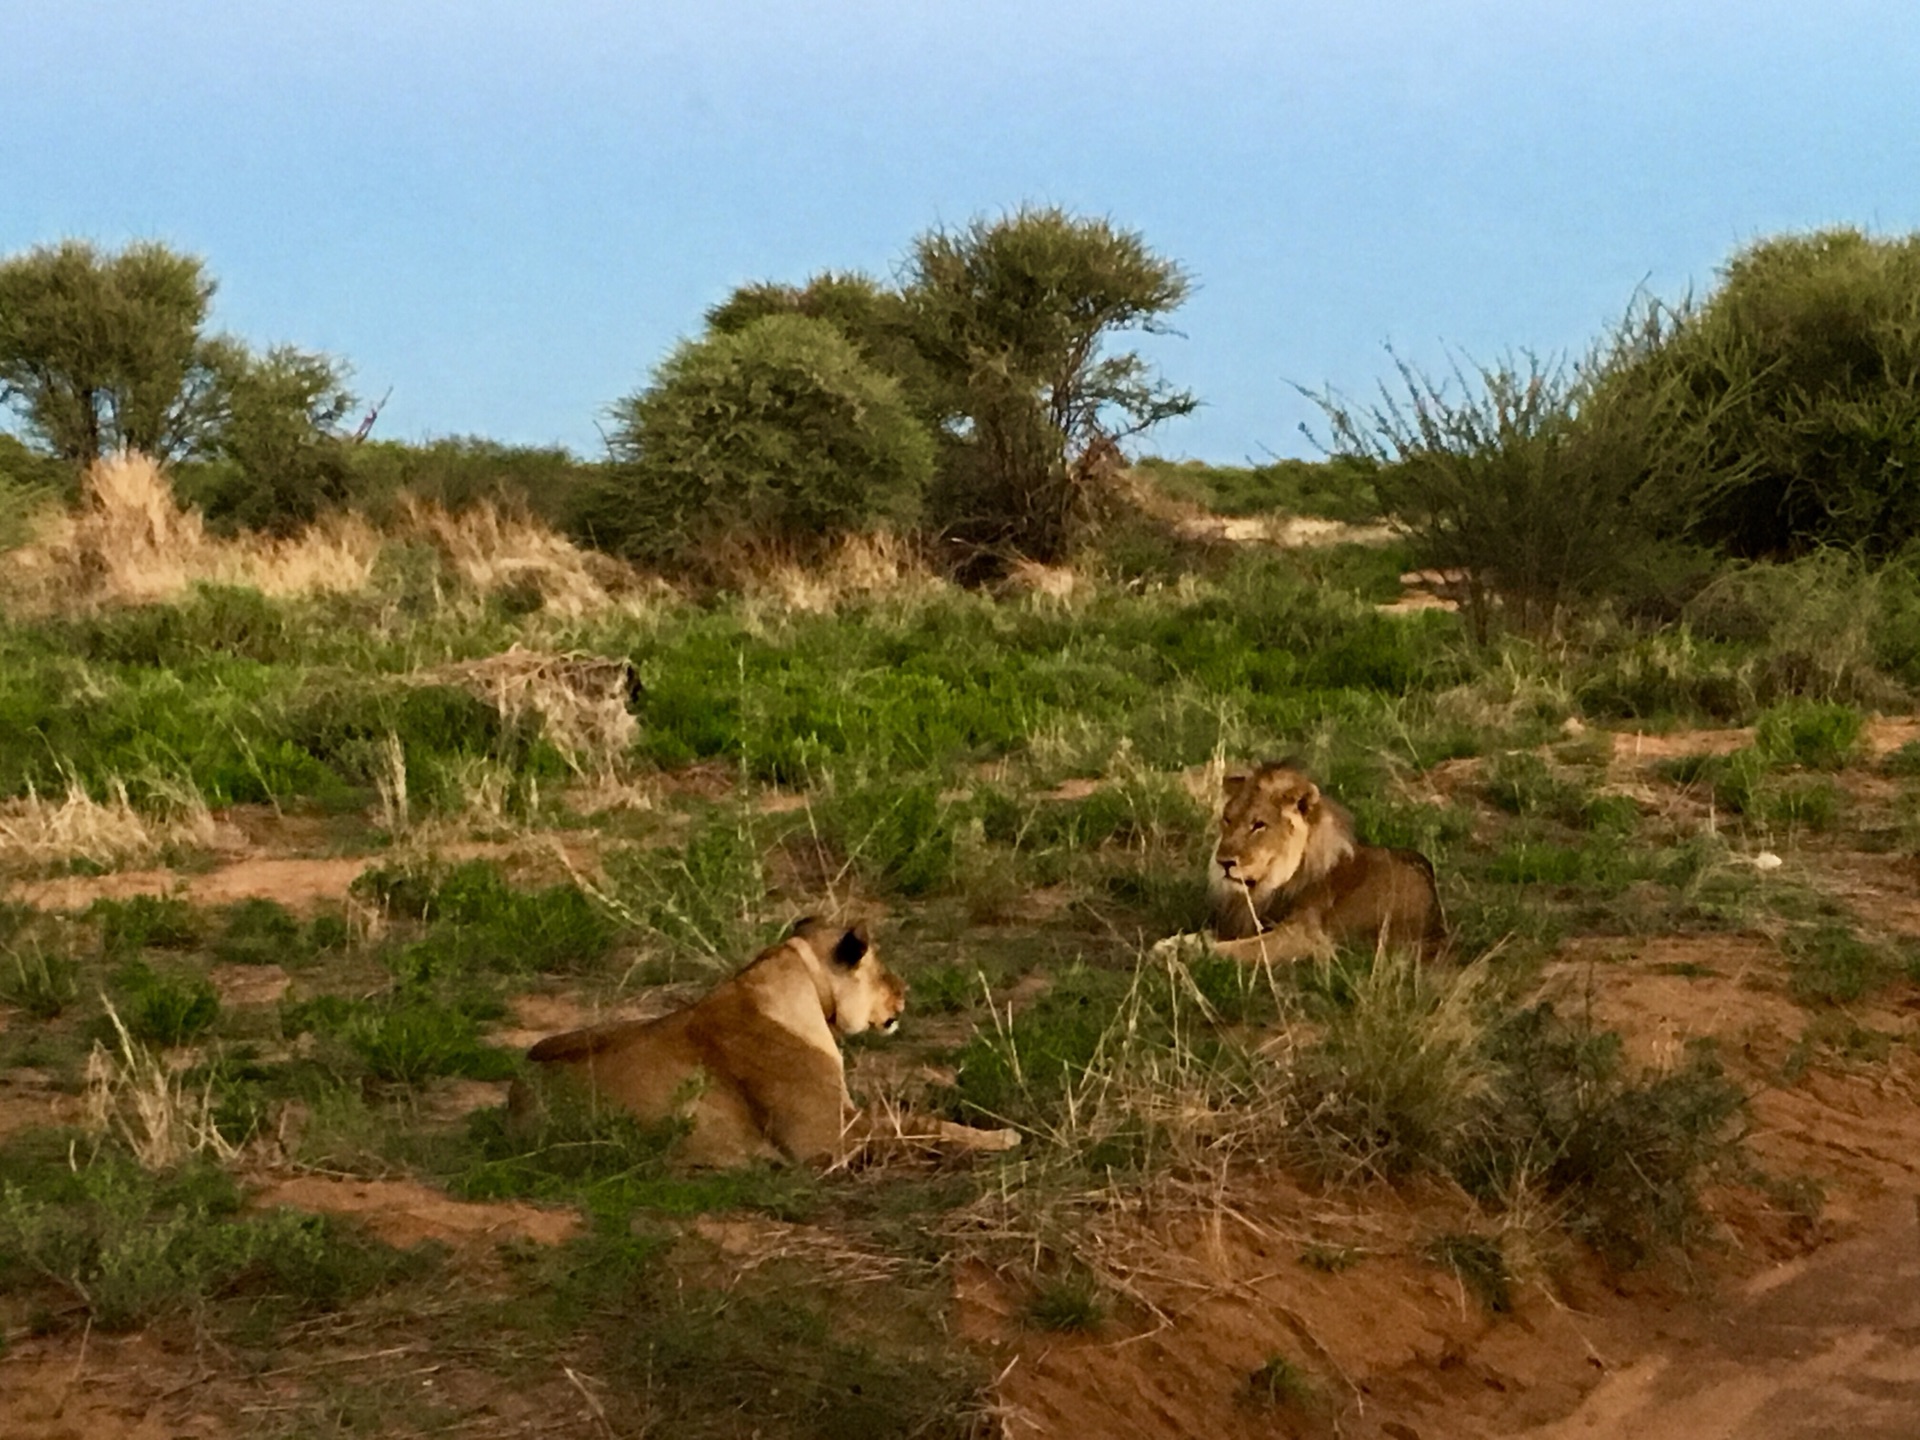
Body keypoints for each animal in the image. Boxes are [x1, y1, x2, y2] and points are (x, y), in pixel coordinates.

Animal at [518, 925, 1013, 1175]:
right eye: (880, 966)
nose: (905, 993)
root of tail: (513, 1104)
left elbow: (908, 1109)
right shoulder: (827, 1140)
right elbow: (921, 1124)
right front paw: (1002, 1137)